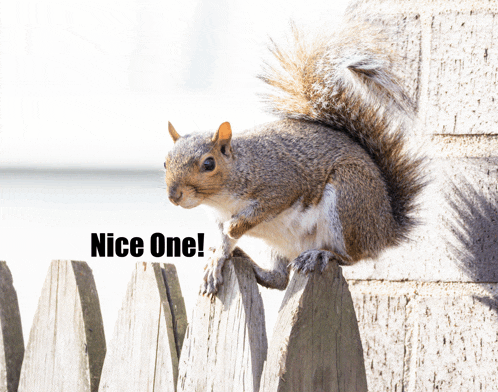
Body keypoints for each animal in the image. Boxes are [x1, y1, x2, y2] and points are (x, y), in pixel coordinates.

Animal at [162, 20, 424, 294]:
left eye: (209, 164)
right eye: (165, 163)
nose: (174, 196)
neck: (222, 197)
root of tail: (386, 229)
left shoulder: (282, 184)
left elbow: (261, 210)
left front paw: (236, 227)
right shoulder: (220, 218)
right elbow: (225, 242)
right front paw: (217, 260)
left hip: (348, 201)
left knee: (350, 256)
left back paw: (321, 254)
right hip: (276, 244)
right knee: (277, 279)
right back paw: (249, 261)